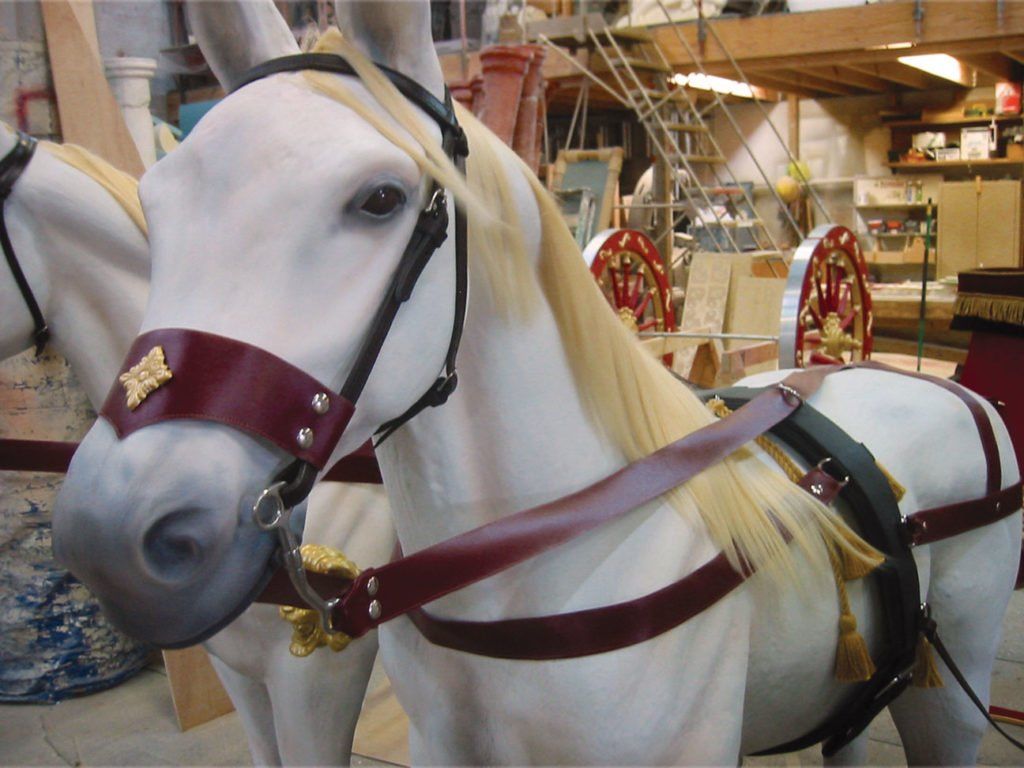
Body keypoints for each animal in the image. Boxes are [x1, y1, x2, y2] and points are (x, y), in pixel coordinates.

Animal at [52, 1, 1021, 764]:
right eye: (157, 203)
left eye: (379, 199)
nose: (111, 532)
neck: (529, 569)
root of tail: (949, 390)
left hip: (949, 689)